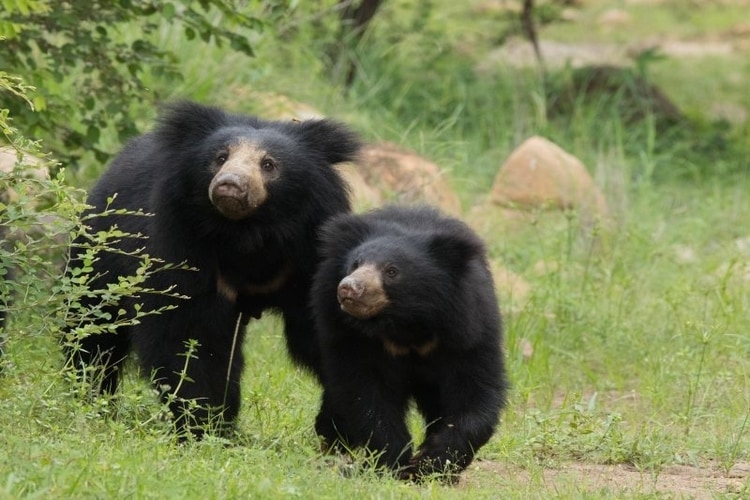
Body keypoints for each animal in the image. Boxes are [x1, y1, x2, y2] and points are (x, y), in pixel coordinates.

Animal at [61, 99, 362, 436]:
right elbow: (190, 333)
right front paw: (204, 424)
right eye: (220, 158)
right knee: (93, 326)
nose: (230, 184)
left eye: (269, 164)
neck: (249, 232)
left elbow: (324, 332)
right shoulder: (183, 240)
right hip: (102, 250)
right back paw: (90, 397)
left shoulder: (309, 251)